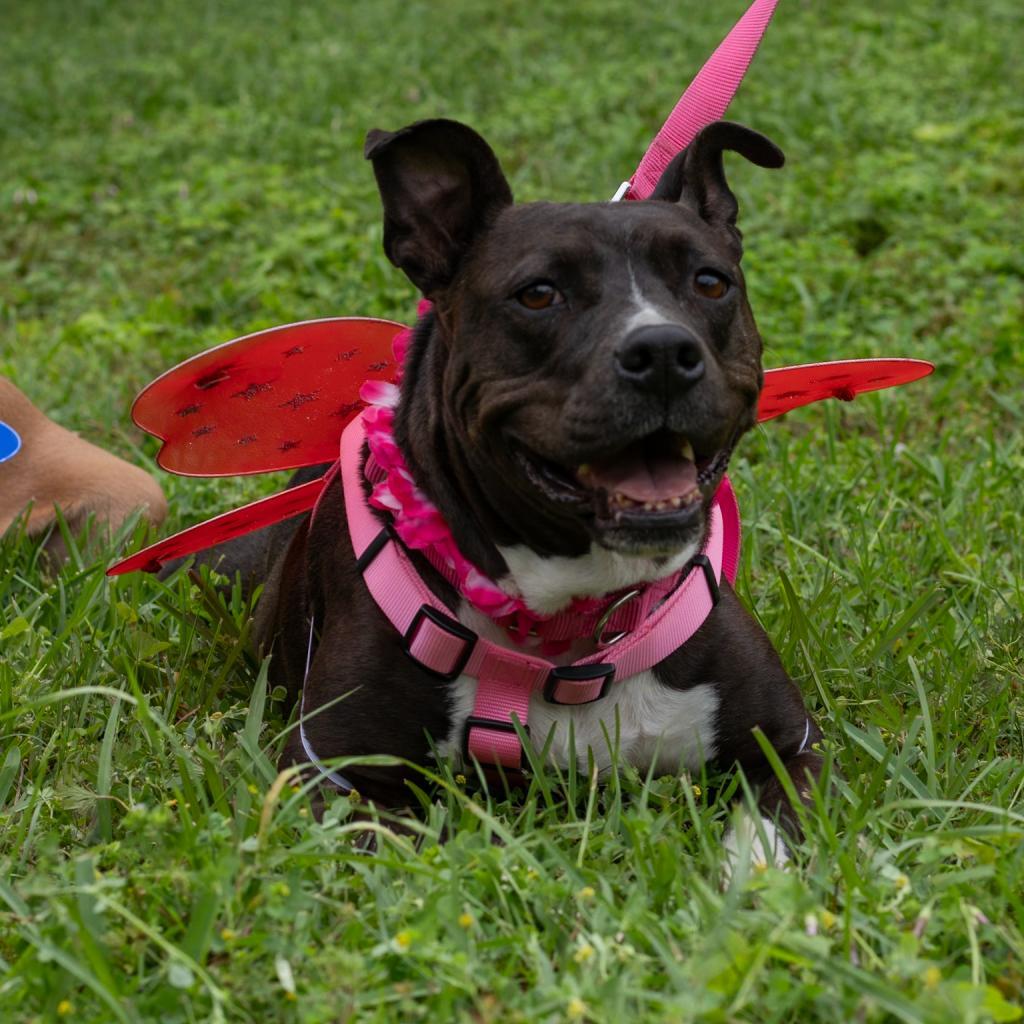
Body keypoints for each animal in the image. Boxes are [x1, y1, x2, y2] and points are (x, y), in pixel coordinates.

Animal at [218, 116, 823, 860]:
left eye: (711, 283)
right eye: (538, 294)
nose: (661, 351)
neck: (568, 625)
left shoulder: (791, 749)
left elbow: (770, 841)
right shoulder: (331, 774)